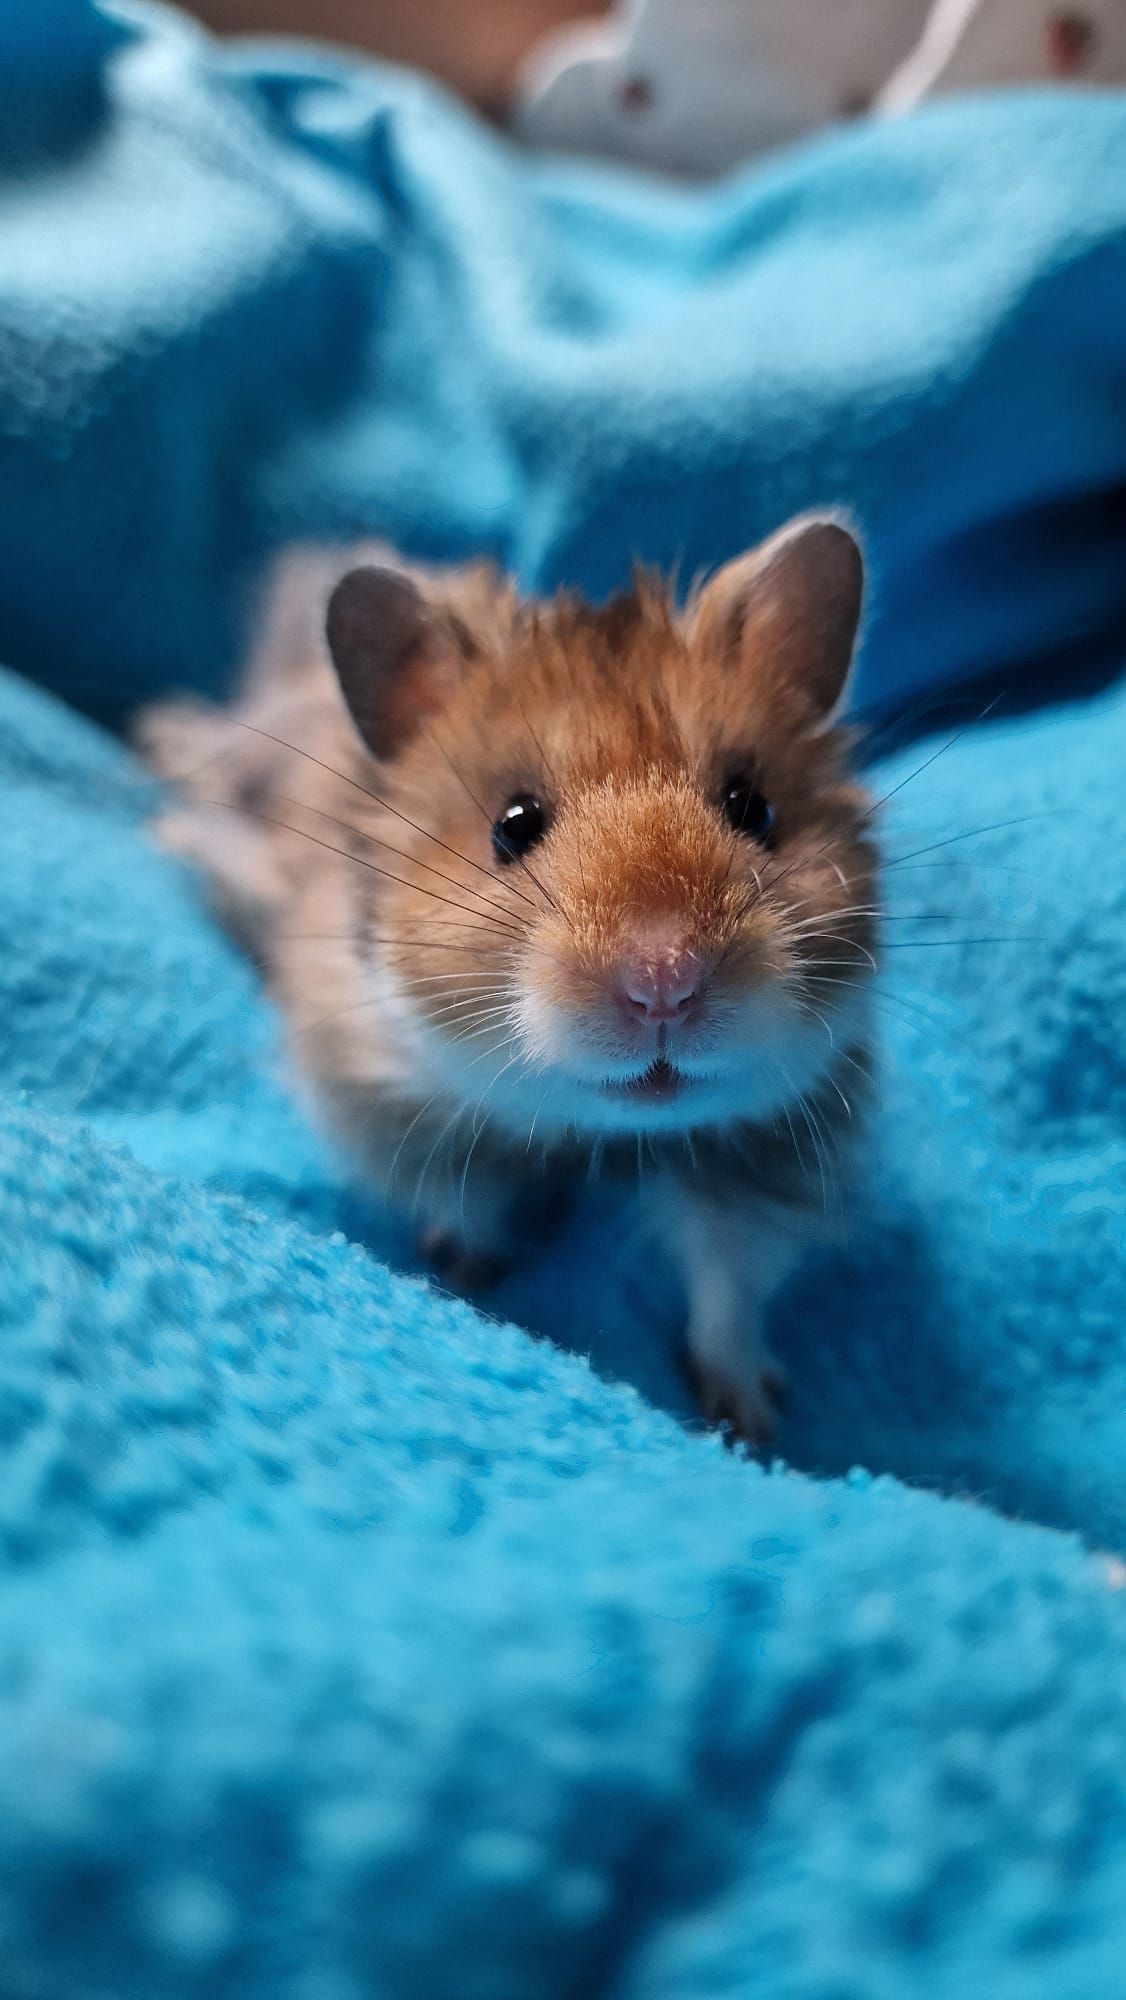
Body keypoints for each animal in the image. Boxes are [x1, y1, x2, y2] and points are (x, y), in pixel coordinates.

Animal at [138, 515, 878, 1444]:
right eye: (512, 825)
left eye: (753, 807)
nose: (664, 985)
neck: (591, 1129)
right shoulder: (376, 1086)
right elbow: (462, 1195)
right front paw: (471, 1272)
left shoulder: (759, 1153)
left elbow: (727, 1290)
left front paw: (749, 1420)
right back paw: (162, 760)